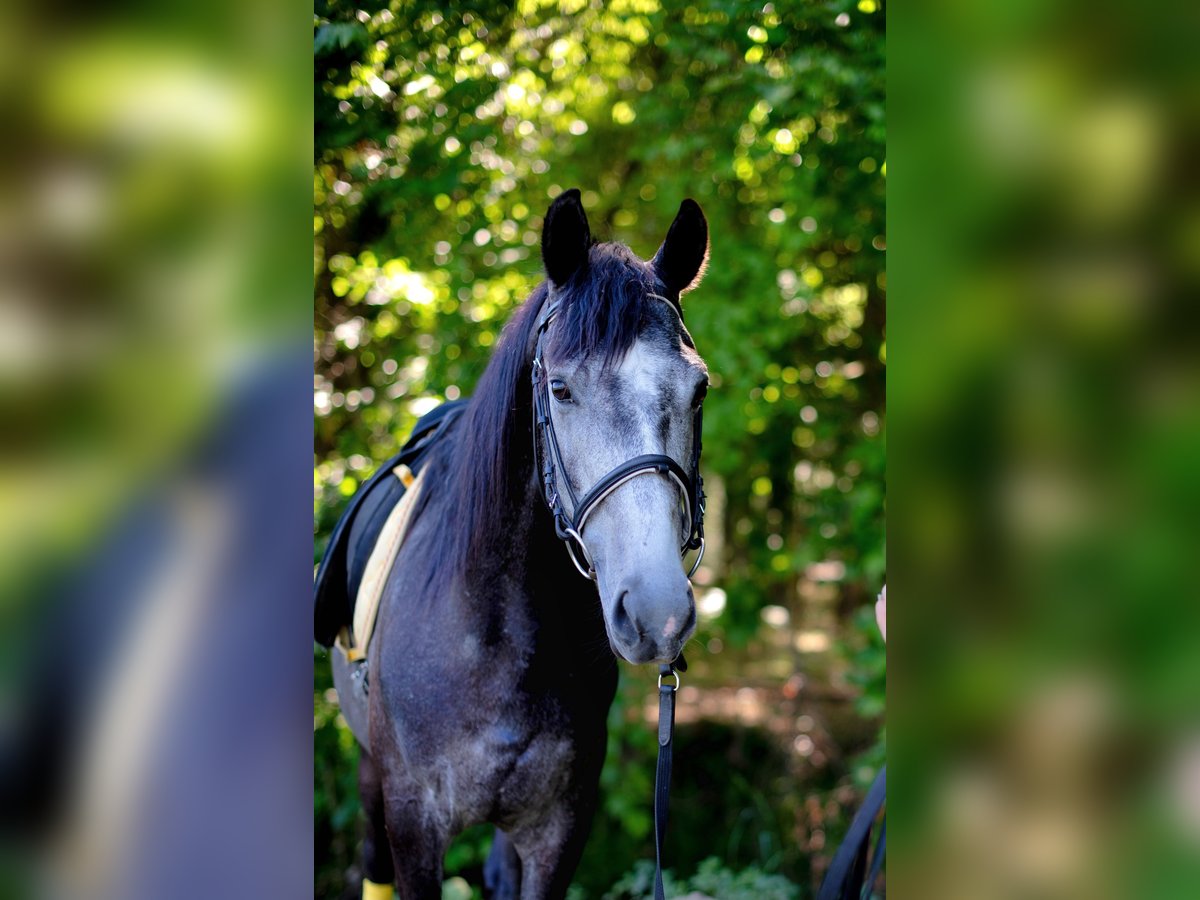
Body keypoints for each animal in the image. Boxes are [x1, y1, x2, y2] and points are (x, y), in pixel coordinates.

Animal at [328, 190, 710, 900]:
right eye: (559, 388)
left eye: (698, 390)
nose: (658, 612)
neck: (499, 636)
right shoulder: (413, 824)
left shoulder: (559, 829)